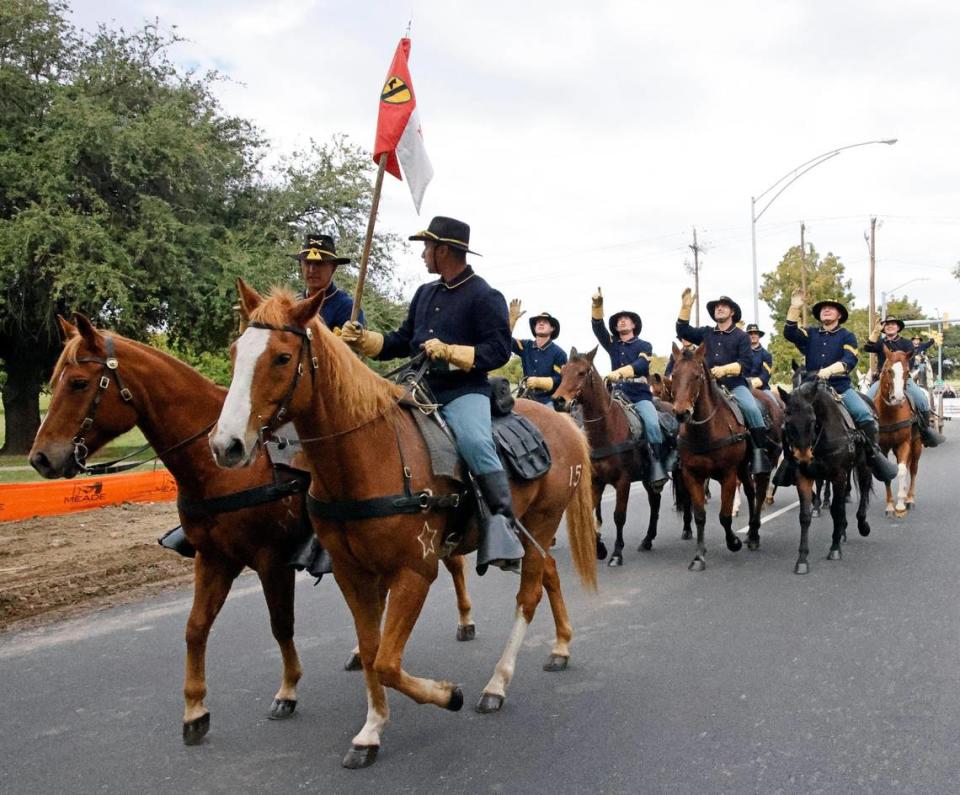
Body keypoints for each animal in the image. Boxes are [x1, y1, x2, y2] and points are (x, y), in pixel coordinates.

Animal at [28, 316, 478, 748]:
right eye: (55, 379)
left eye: (79, 382)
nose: (41, 458)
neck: (217, 471)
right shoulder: (213, 557)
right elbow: (195, 627)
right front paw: (195, 709)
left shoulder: (270, 559)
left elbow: (281, 624)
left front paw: (288, 690)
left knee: (454, 566)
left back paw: (465, 622)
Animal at [212, 282, 600, 772]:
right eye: (235, 351)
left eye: (282, 357)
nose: (226, 445)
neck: (368, 452)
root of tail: (565, 422)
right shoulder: (352, 573)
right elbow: (372, 651)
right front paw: (371, 730)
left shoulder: (415, 572)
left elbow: (387, 662)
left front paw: (448, 695)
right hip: (533, 531)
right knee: (548, 572)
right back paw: (560, 647)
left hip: (542, 522)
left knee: (528, 594)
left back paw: (497, 684)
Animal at [552, 350, 680, 564]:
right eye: (562, 372)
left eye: (582, 372)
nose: (558, 401)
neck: (606, 429)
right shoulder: (596, 482)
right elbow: (591, 515)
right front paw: (600, 548)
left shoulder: (623, 481)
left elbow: (619, 516)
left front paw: (616, 552)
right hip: (647, 478)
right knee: (655, 502)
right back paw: (647, 540)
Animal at [668, 346, 780, 568]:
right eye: (674, 375)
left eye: (697, 376)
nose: (681, 413)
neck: (706, 431)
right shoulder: (692, 476)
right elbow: (700, 516)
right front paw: (699, 556)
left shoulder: (727, 475)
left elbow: (725, 516)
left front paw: (733, 542)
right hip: (743, 467)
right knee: (751, 491)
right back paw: (750, 532)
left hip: (761, 464)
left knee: (760, 491)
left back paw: (754, 535)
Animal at [776, 382, 872, 576]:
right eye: (788, 422)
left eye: (812, 420)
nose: (803, 458)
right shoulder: (804, 477)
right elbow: (805, 516)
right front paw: (802, 559)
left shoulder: (838, 475)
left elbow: (836, 509)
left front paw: (834, 549)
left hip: (862, 465)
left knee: (864, 487)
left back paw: (862, 524)